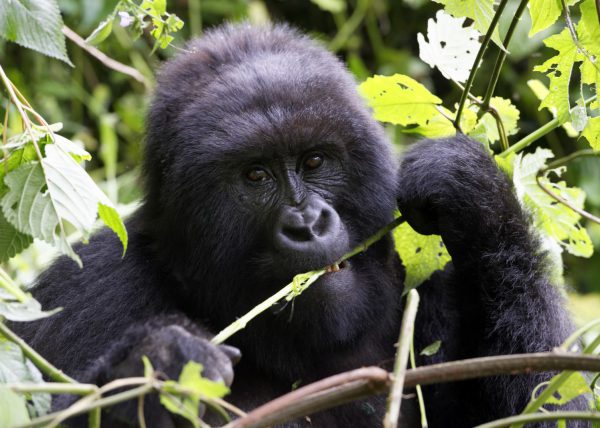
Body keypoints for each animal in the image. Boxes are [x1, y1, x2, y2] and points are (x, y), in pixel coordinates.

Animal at [16, 24, 584, 428]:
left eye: (314, 162)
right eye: (256, 175)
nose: (307, 224)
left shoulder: (431, 271)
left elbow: (553, 404)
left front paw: (472, 191)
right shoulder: (87, 289)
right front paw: (157, 366)